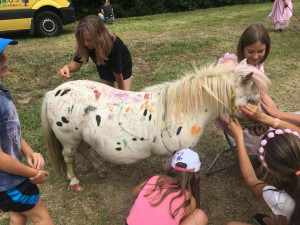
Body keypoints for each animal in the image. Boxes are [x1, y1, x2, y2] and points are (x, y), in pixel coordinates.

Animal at [41, 61, 270, 190]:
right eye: (252, 101)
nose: (261, 129)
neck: (185, 110)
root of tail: (53, 93)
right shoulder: (170, 154)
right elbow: (170, 173)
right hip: (68, 138)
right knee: (69, 156)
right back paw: (74, 181)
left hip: (78, 137)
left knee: (84, 150)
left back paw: (101, 169)